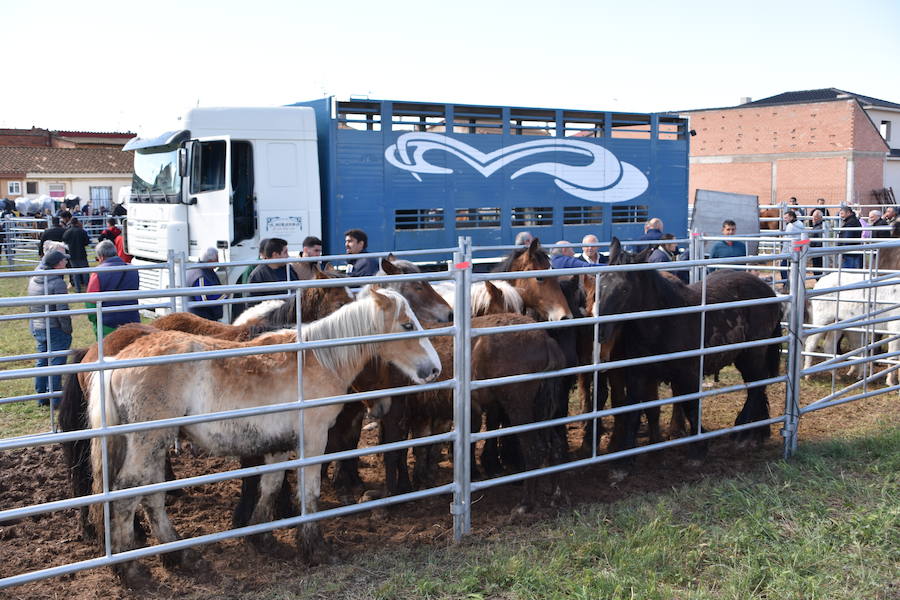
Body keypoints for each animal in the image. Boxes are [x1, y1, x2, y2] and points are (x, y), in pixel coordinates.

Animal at [89, 288, 442, 584]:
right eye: (407, 325)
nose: (434, 369)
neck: (315, 360)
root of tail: (118, 359)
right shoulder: (313, 441)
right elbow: (309, 493)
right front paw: (315, 549)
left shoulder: (279, 444)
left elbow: (270, 487)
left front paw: (263, 539)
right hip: (148, 441)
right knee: (127, 494)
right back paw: (132, 571)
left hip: (155, 444)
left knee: (152, 496)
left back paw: (181, 556)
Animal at [596, 237, 780, 458]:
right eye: (600, 283)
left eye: (625, 289)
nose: (600, 331)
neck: (665, 322)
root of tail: (768, 290)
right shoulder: (638, 374)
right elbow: (632, 410)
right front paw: (626, 454)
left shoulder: (689, 373)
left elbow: (691, 406)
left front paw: (699, 446)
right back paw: (759, 431)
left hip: (752, 354)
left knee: (757, 385)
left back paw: (742, 430)